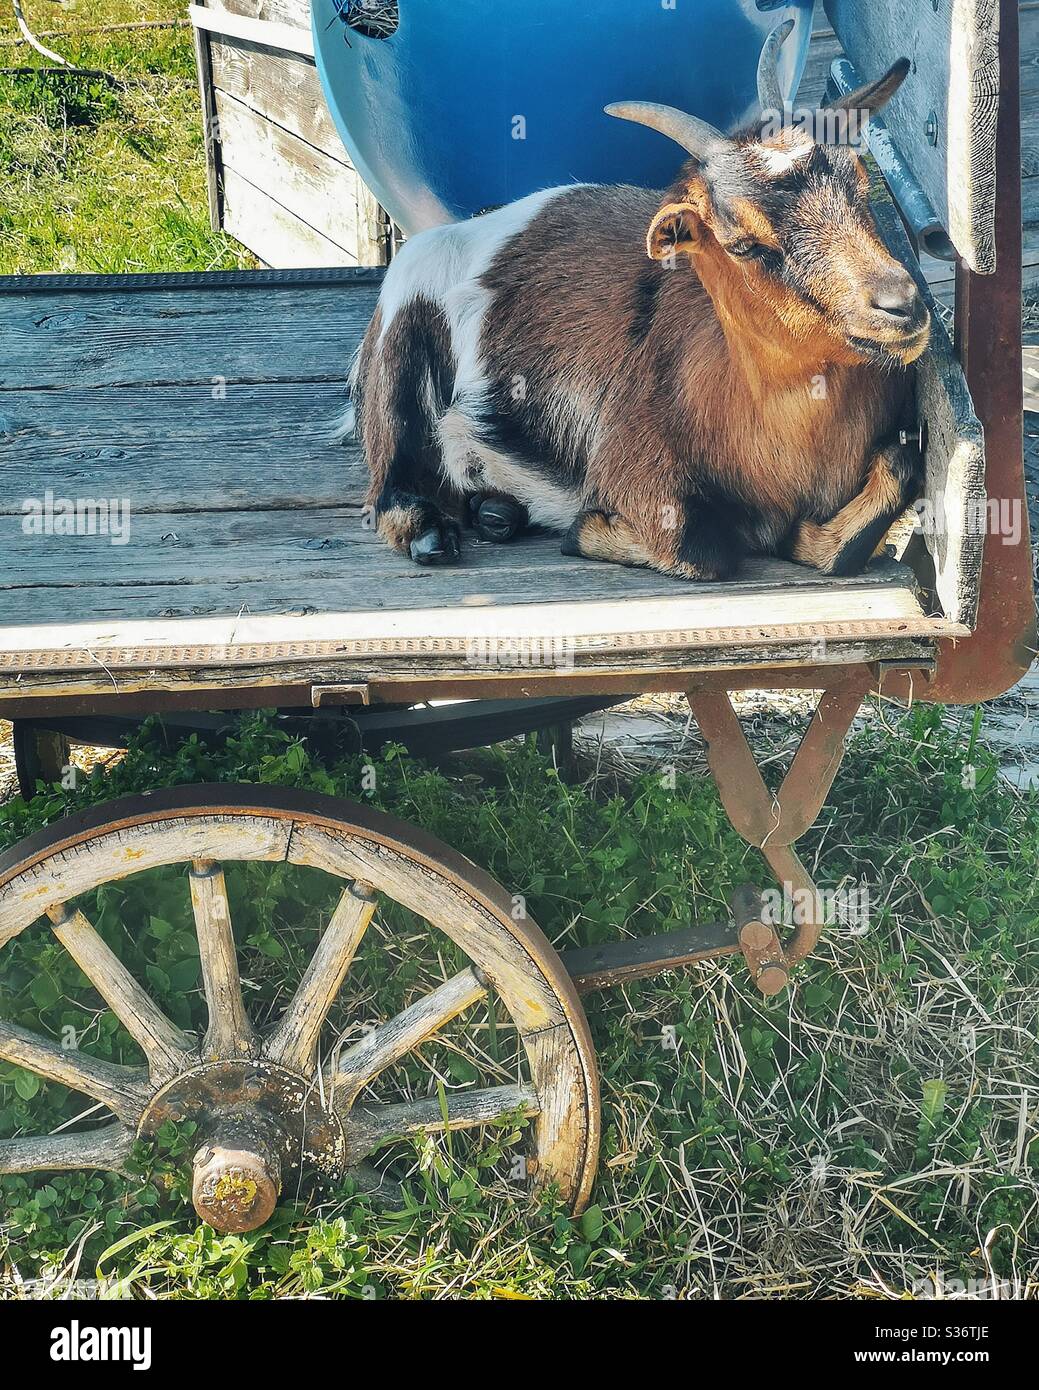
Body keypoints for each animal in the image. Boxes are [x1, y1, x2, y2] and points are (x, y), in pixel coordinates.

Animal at [352, 22, 930, 582]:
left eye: (861, 185)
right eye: (743, 244)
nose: (901, 304)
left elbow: (900, 472)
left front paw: (804, 538)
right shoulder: (629, 461)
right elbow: (699, 549)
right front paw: (587, 529)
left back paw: (496, 512)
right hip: (401, 334)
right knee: (389, 481)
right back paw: (431, 533)